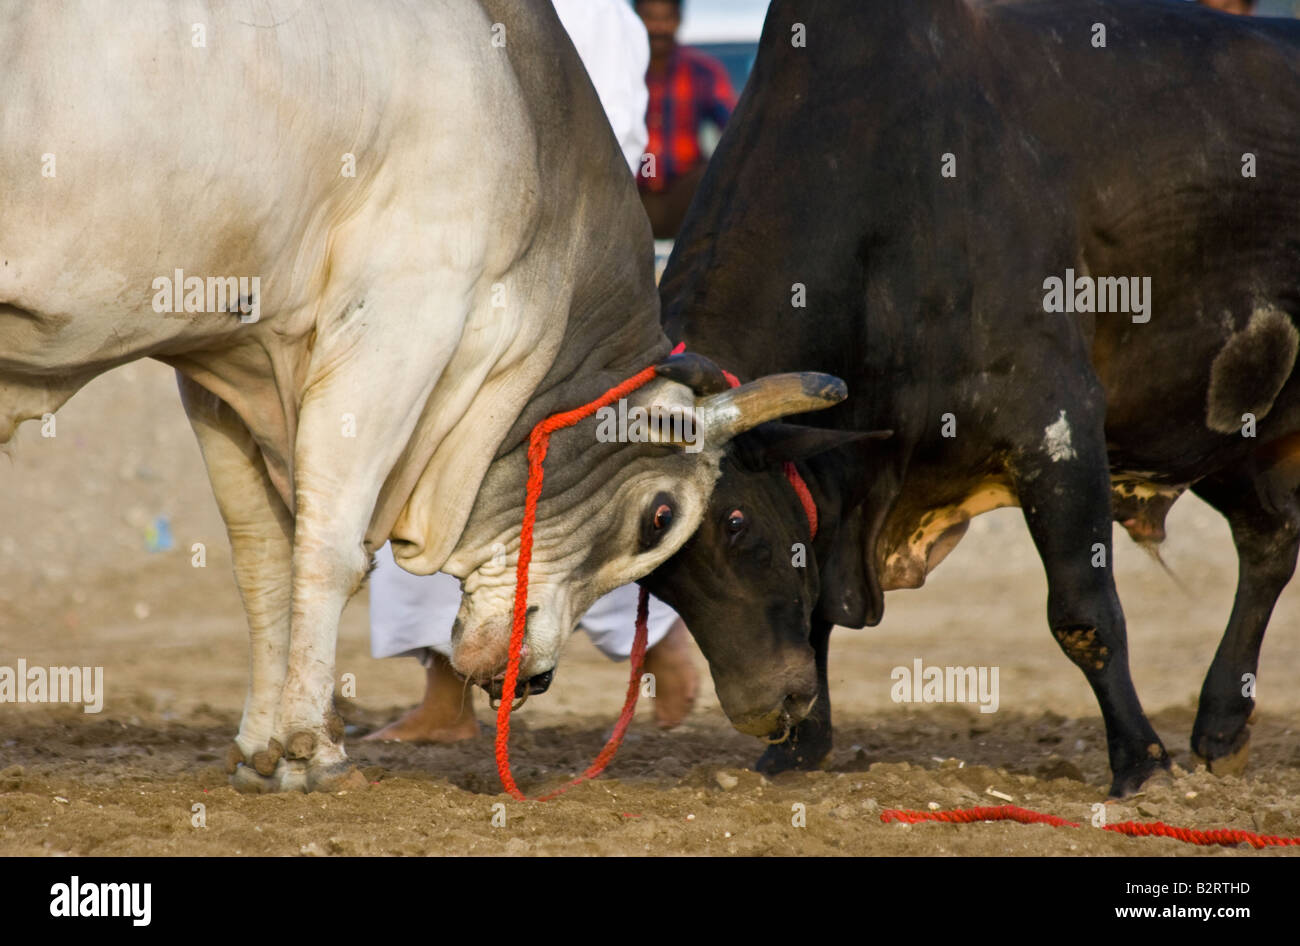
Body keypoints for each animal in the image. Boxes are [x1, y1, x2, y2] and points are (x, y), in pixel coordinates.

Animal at [0, 1, 842, 790]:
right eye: (660, 518)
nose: (535, 677)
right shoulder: (401, 317)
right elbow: (330, 550)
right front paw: (312, 748)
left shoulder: (218, 361)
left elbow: (264, 557)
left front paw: (260, 748)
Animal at [639, 0, 1300, 800]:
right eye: (657, 575)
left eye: (736, 523)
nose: (765, 710)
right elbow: (817, 599)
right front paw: (800, 750)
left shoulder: (1056, 426)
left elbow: (1084, 612)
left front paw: (1141, 760)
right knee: (1271, 538)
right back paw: (1223, 725)